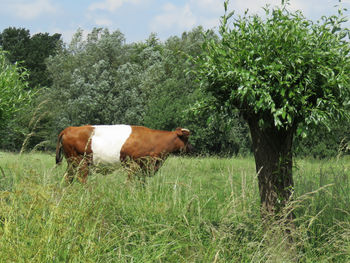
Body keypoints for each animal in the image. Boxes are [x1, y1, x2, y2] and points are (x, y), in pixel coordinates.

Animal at [55, 125, 191, 184]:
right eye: (186, 138)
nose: (191, 148)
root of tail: (69, 129)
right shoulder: (132, 166)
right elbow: (130, 183)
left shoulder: (142, 169)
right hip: (80, 162)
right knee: (81, 179)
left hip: (72, 163)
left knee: (68, 178)